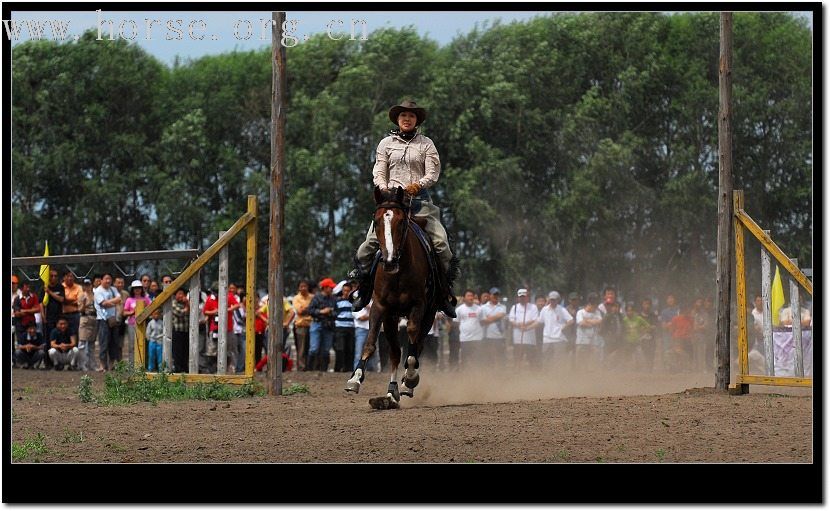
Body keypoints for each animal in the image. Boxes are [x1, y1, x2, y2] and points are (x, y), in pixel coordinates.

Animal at [344, 186, 438, 410]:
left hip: (428, 314)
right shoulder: (380, 307)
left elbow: (412, 339)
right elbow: (371, 342)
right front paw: (355, 379)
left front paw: (410, 378)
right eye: (376, 221)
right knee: (395, 352)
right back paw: (390, 394)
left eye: (401, 222)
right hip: (392, 317)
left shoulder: (419, 306)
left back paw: (406, 385)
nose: (389, 261)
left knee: (417, 345)